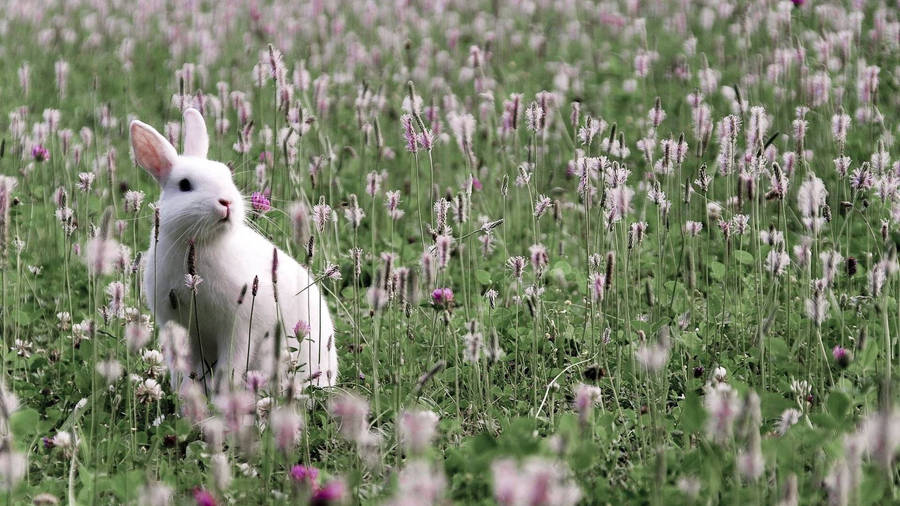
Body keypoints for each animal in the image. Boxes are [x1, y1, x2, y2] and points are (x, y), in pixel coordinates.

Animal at [134, 107, 342, 396]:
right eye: (184, 185)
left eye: (227, 175)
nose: (226, 202)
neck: (204, 244)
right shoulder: (178, 327)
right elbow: (186, 369)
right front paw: (186, 394)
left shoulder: (240, 328)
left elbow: (230, 365)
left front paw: (222, 394)